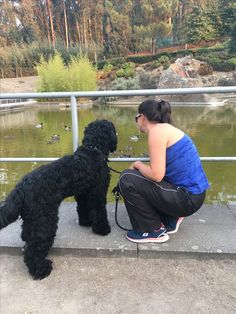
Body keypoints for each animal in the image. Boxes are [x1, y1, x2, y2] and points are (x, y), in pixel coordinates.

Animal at [0, 119, 117, 280]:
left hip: (33, 219)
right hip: (46, 221)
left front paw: (85, 222)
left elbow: (83, 208)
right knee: (33, 250)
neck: (93, 149)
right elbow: (99, 211)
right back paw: (41, 270)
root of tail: (20, 188)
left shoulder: (83, 194)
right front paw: (102, 229)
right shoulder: (97, 193)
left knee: (27, 237)